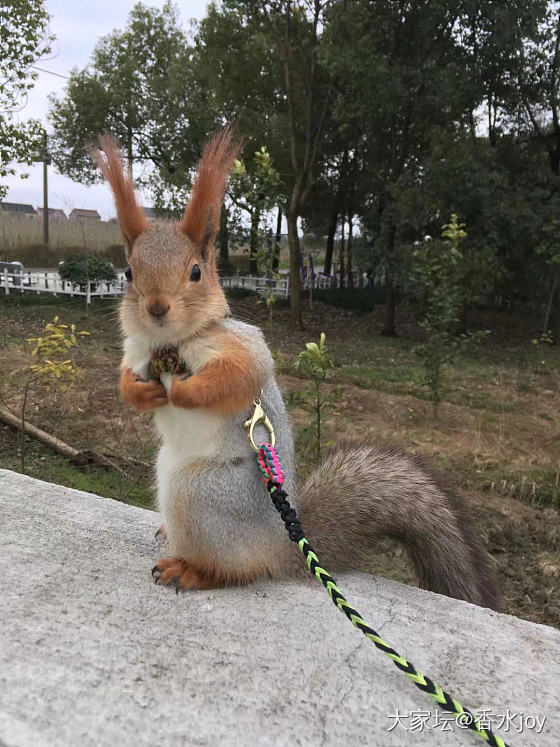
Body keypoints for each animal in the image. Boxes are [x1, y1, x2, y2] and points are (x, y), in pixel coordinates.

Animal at [93, 127, 498, 608]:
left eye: (196, 272)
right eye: (128, 273)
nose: (156, 307)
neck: (168, 345)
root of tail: (282, 546)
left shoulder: (244, 344)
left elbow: (240, 374)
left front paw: (184, 393)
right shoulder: (134, 351)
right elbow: (124, 381)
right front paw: (144, 393)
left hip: (200, 492)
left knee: (235, 572)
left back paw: (192, 569)